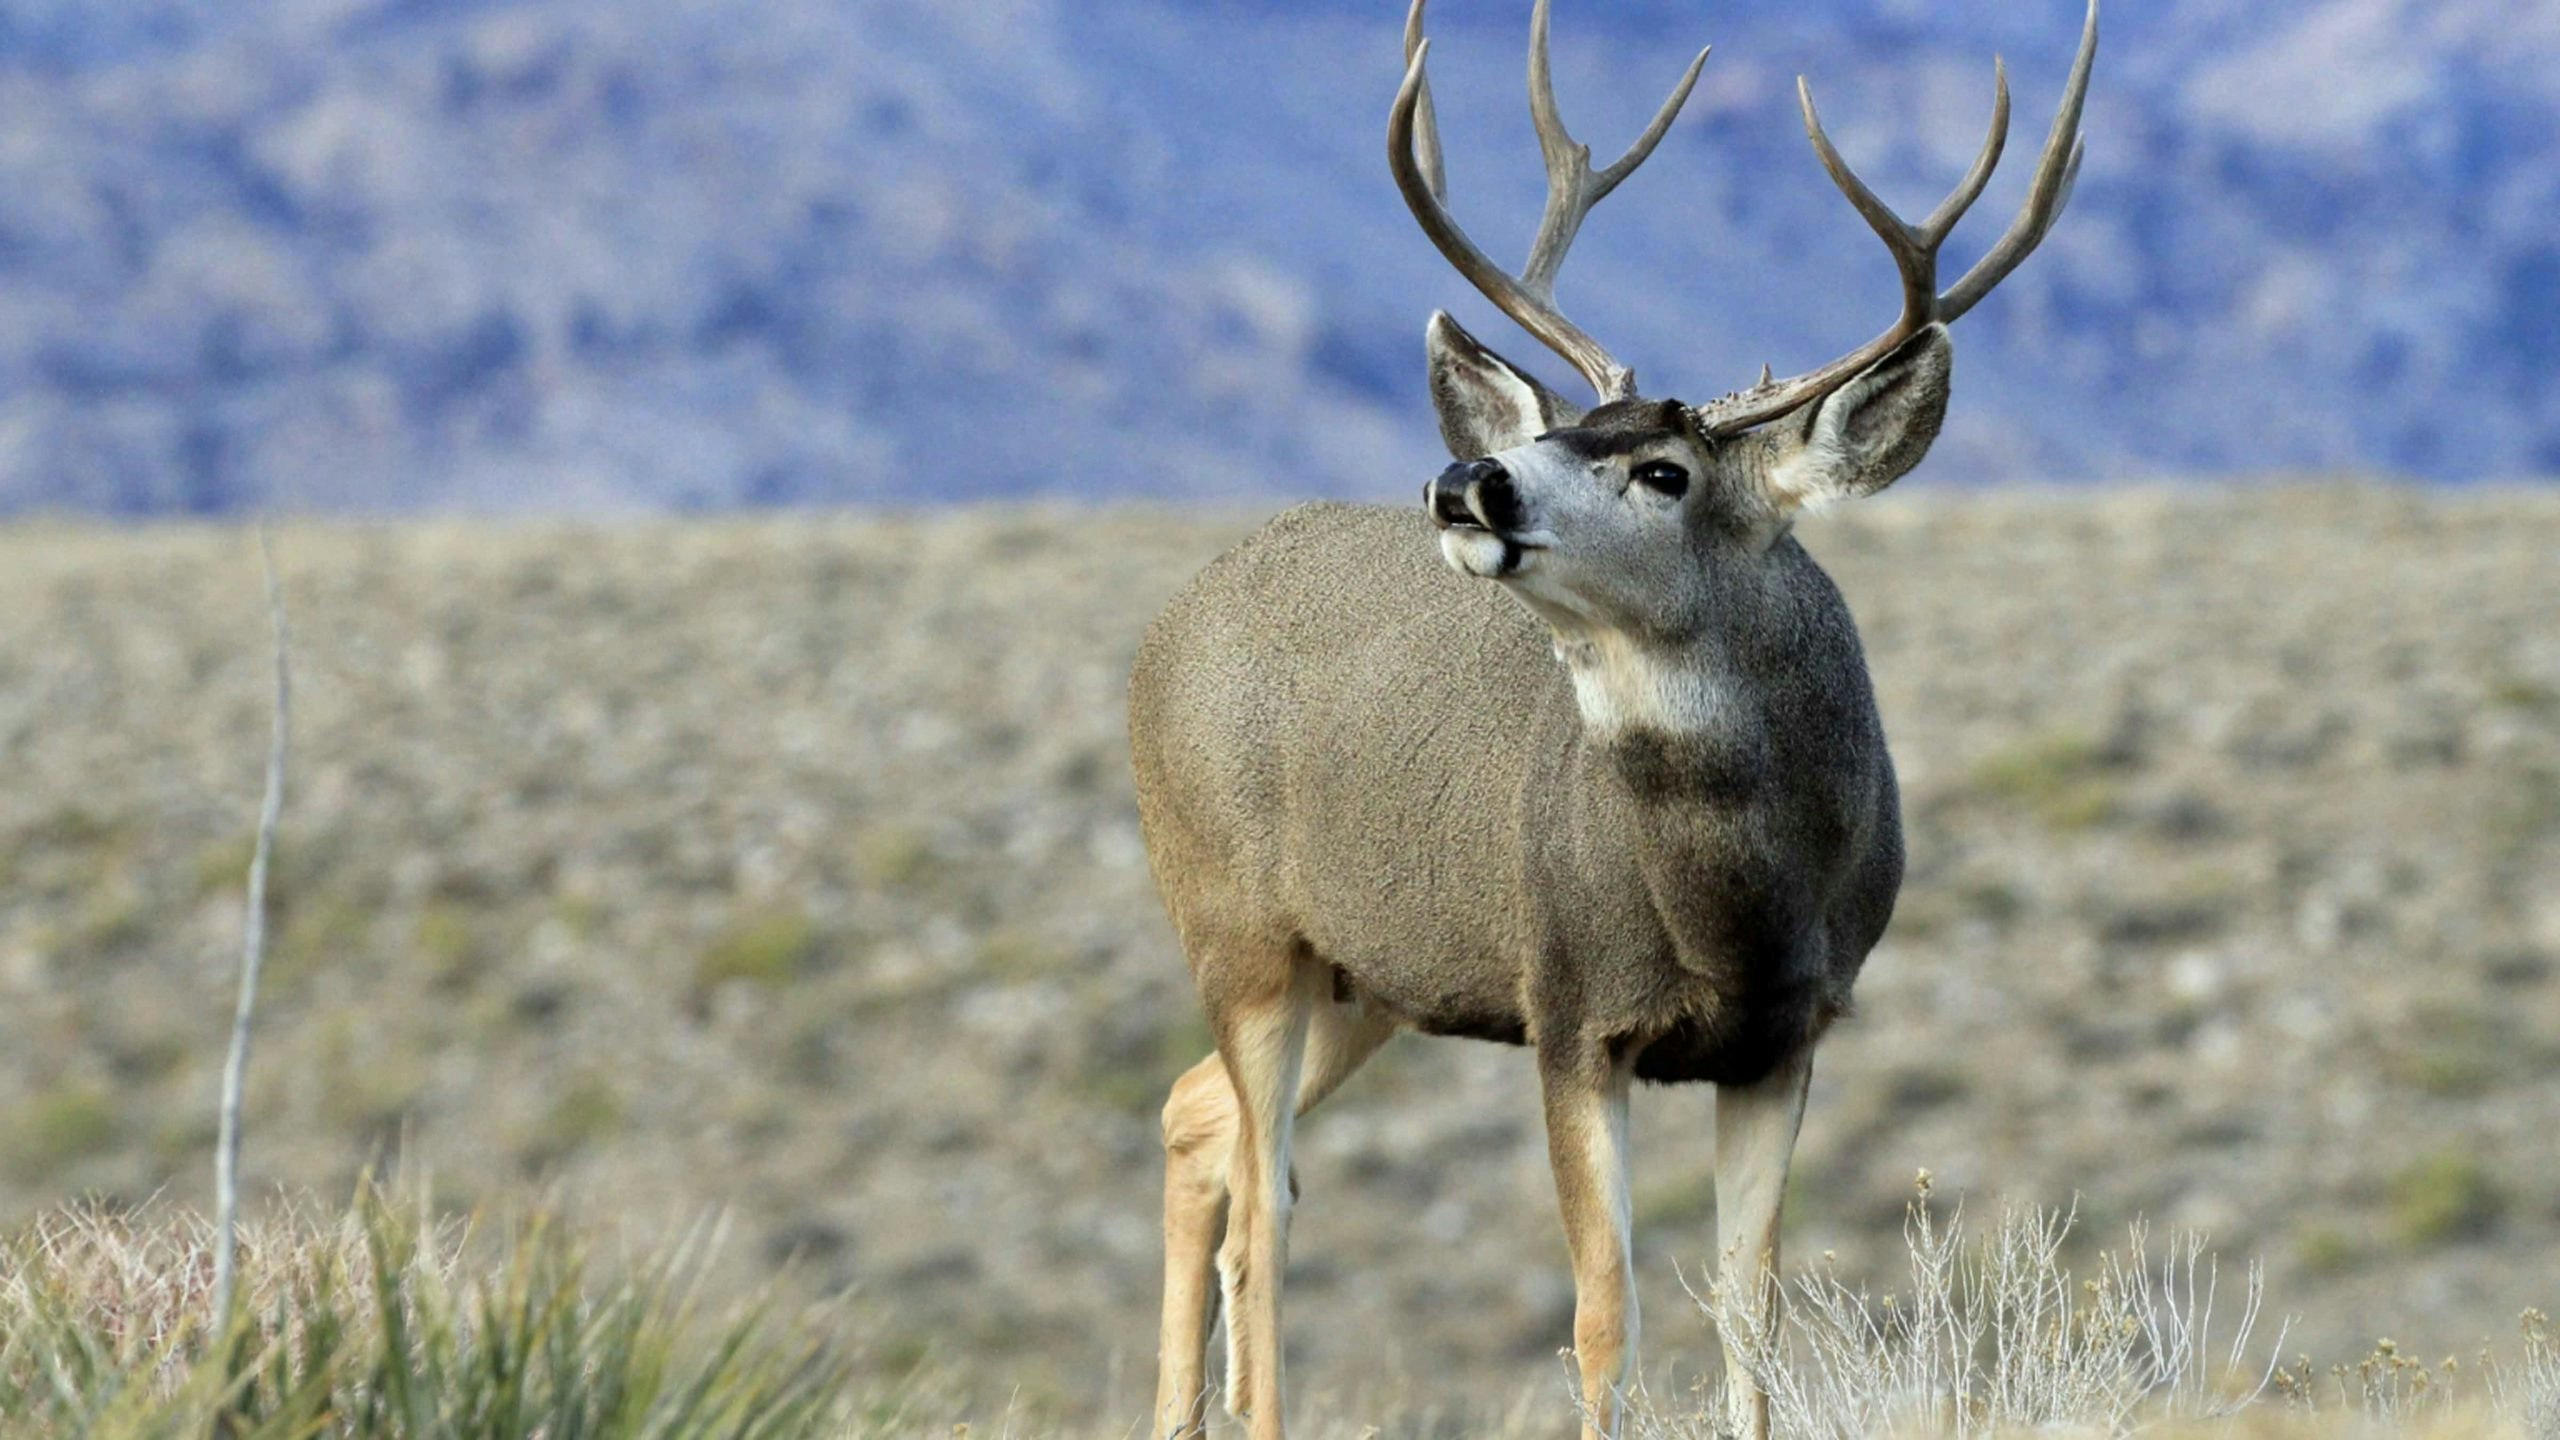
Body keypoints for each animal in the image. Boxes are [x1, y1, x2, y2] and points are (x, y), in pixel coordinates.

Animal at [1128, 2, 2096, 1436]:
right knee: (1266, 1205)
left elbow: (1751, 1312)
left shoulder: (1791, 1031)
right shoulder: (1571, 1010)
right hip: (1234, 923)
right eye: (1563, 428)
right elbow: (1603, 1320)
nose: (1468, 479)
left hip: (1363, 971)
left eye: (1663, 469)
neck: (1727, 908)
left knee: (1199, 1124)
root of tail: (1166, 627)